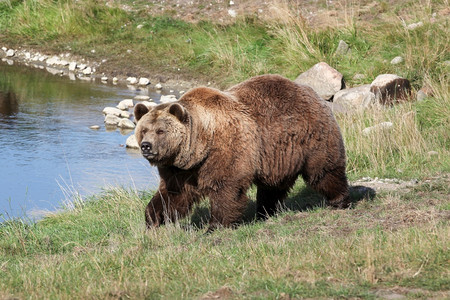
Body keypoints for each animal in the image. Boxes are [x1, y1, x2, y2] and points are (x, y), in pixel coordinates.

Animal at [134, 74, 352, 231]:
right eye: (144, 129)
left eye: (160, 131)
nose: (146, 146)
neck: (198, 147)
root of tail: (313, 93)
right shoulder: (180, 169)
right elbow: (173, 194)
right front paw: (152, 218)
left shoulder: (226, 149)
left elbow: (226, 187)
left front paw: (215, 225)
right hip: (278, 155)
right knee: (273, 186)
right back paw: (265, 211)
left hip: (313, 137)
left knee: (324, 171)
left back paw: (339, 200)